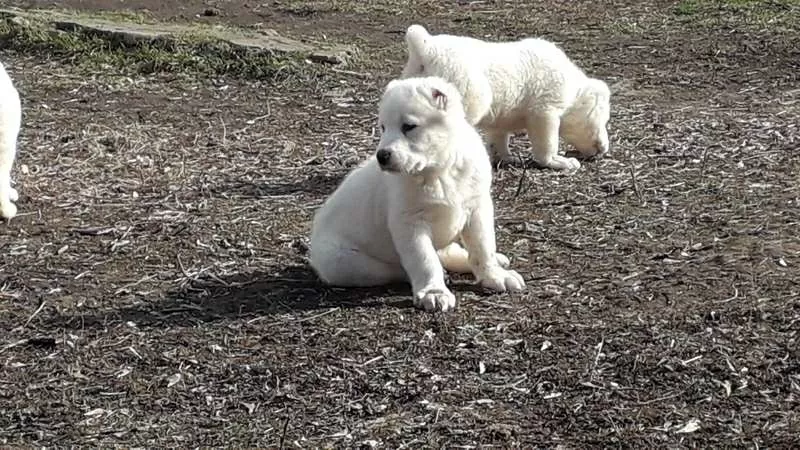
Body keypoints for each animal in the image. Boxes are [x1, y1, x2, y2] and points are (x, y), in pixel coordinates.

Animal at [310, 75, 528, 312]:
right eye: (383, 127)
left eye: (409, 127)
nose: (382, 156)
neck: (440, 170)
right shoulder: (410, 223)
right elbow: (424, 260)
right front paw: (434, 292)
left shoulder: (477, 208)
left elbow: (483, 247)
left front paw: (494, 275)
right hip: (342, 262)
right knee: (394, 269)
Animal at [400, 24, 612, 172]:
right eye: (603, 120)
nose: (603, 148)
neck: (572, 84)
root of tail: (425, 50)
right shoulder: (546, 101)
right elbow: (545, 129)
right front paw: (560, 161)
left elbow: (498, 133)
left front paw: (507, 157)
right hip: (461, 83)